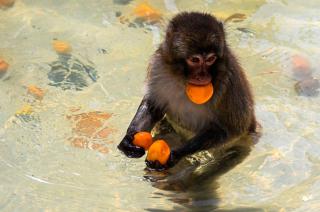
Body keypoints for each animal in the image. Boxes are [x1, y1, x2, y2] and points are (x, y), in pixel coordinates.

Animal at [117, 11, 258, 171]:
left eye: (210, 59)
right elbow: (154, 106)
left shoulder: (228, 80)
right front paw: (129, 138)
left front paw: (176, 154)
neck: (183, 79)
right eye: (195, 60)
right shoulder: (158, 65)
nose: (203, 76)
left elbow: (226, 129)